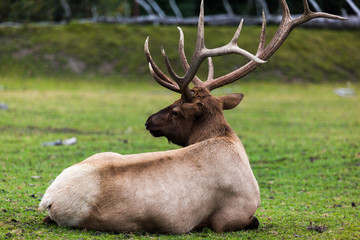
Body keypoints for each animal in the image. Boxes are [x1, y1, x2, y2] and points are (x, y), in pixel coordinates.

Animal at [38, 0, 344, 233]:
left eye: (175, 109)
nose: (148, 121)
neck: (227, 141)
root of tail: (48, 199)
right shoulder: (231, 216)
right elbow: (253, 222)